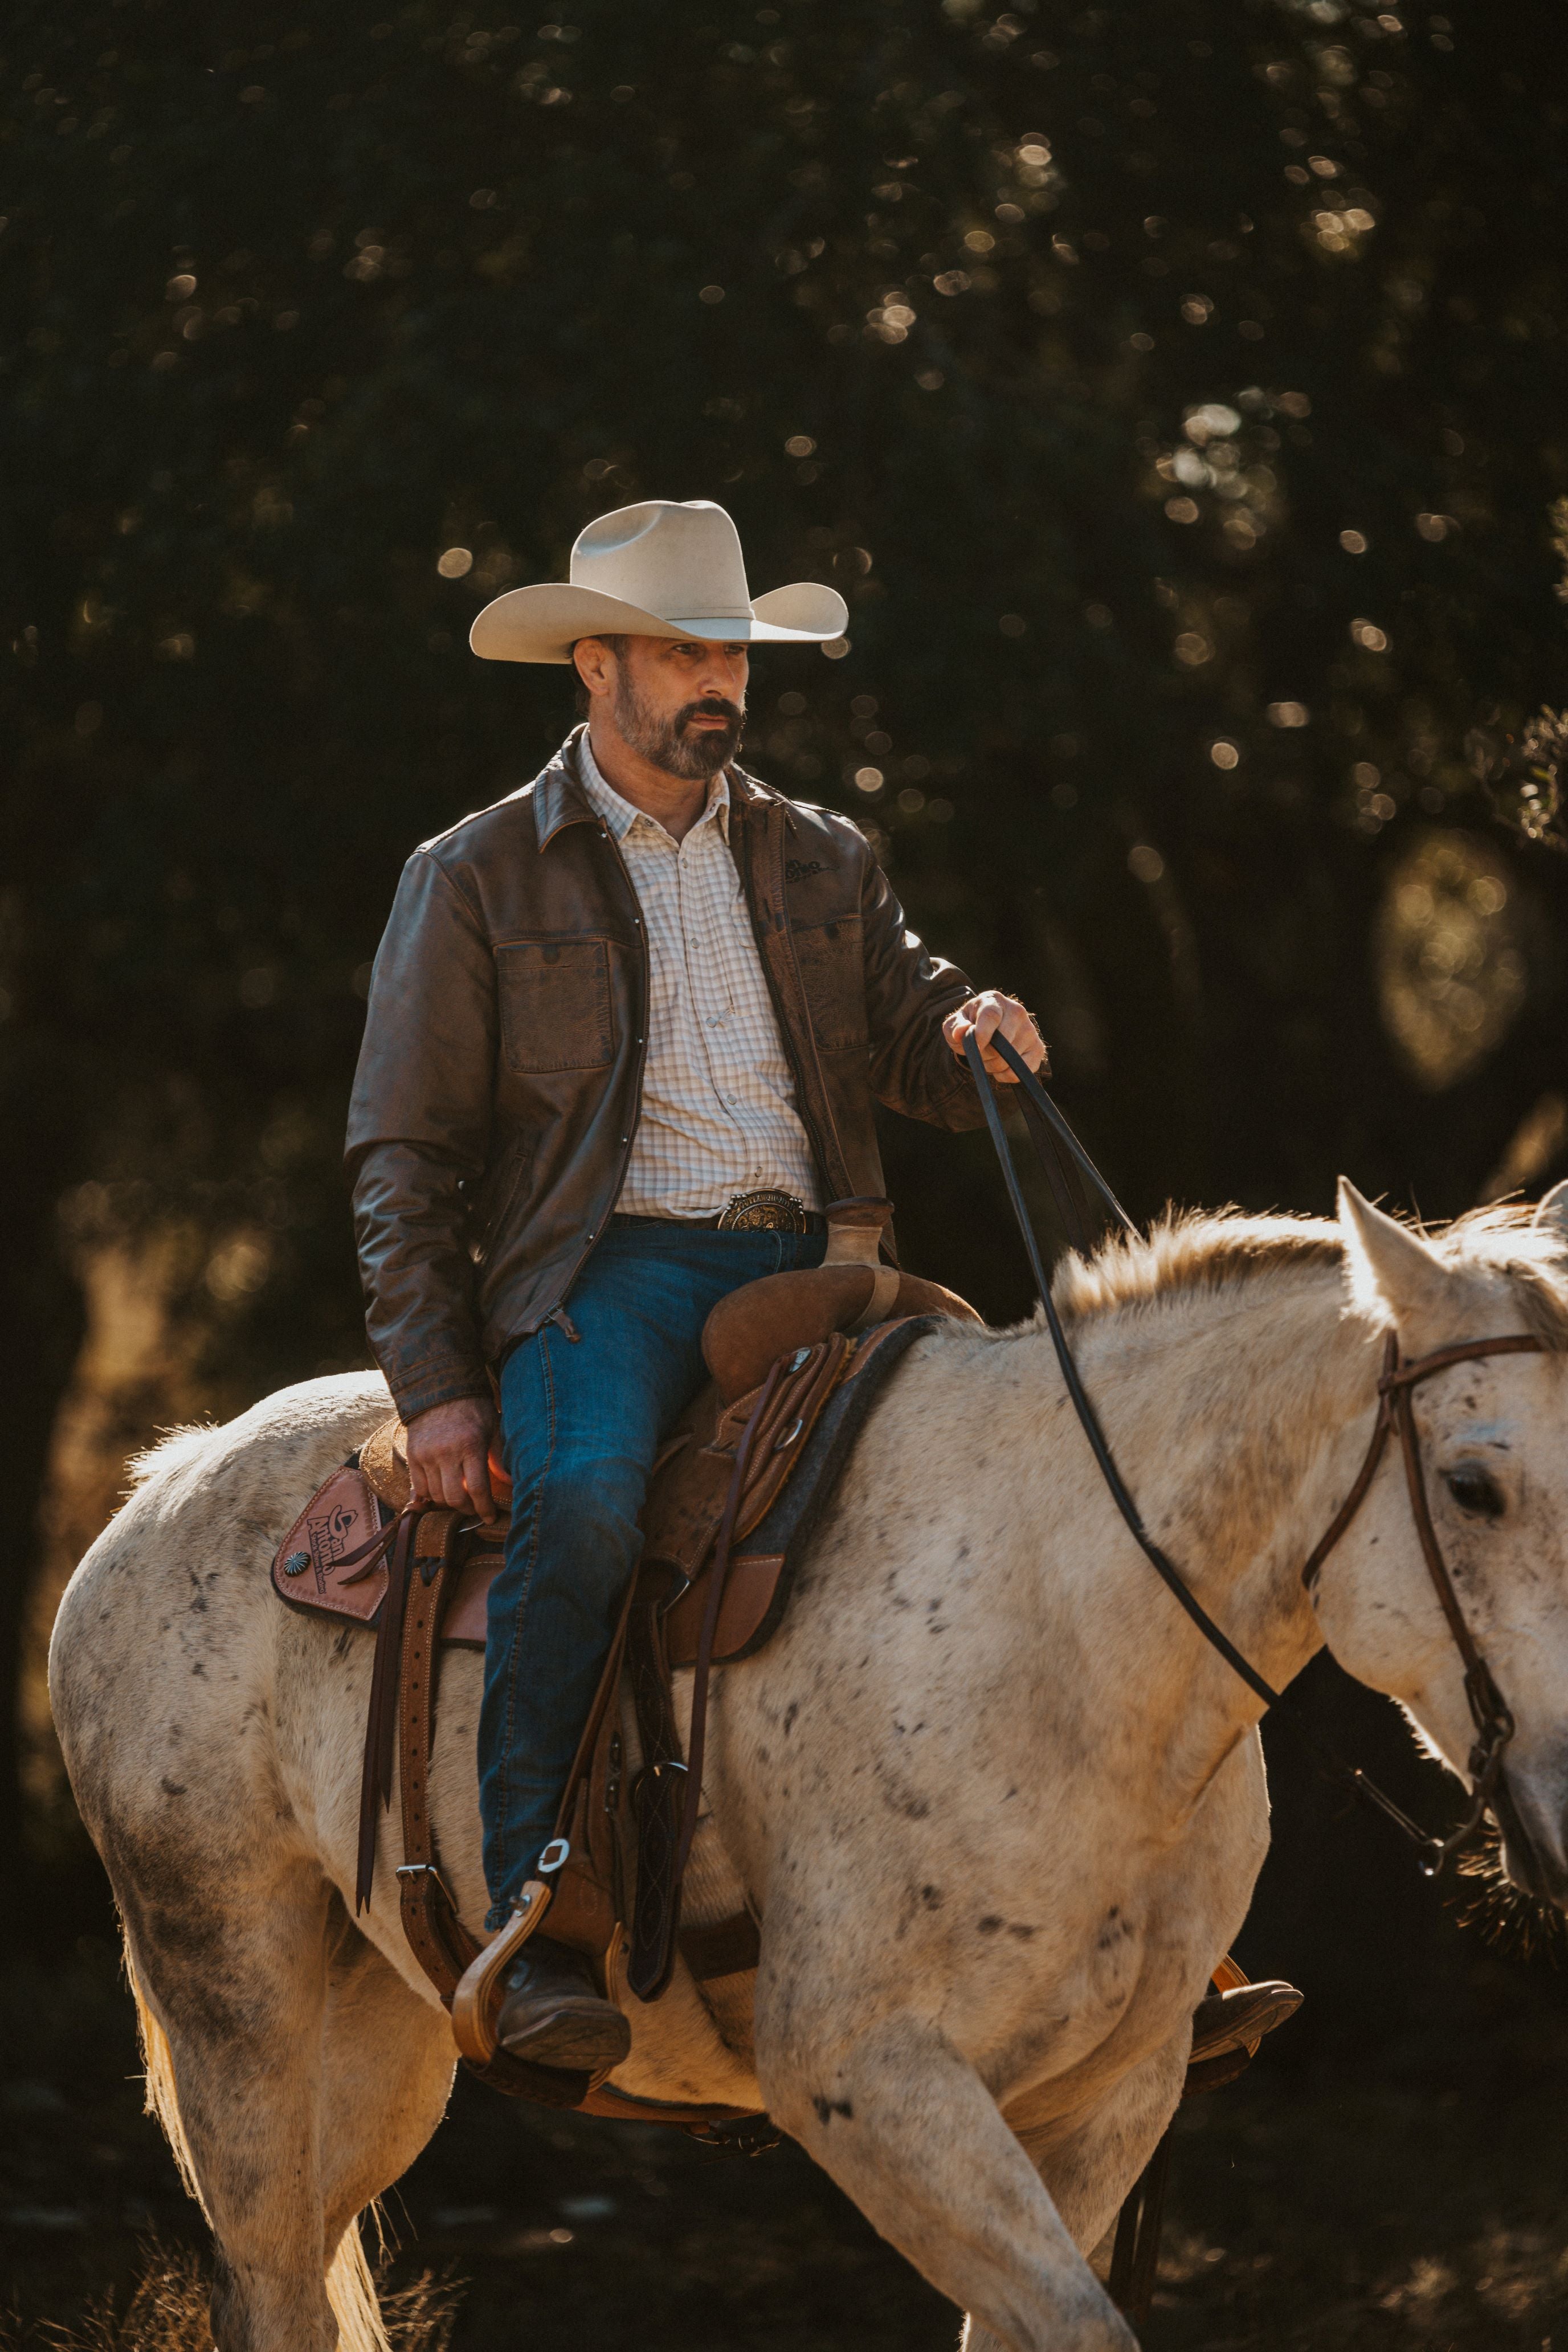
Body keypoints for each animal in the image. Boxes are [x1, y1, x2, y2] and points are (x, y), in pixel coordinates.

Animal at [46, 1185, 1568, 2342]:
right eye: (1473, 1485)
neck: (1064, 1619)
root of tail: (162, 1484)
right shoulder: (866, 2077)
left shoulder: (1111, 2097)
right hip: (233, 2012)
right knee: (270, 2278)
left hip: (379, 2038)